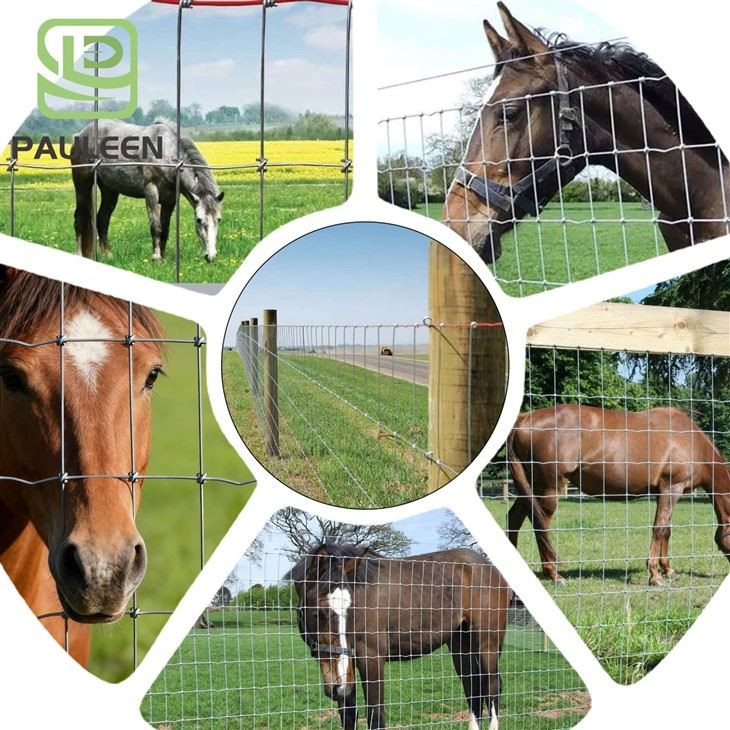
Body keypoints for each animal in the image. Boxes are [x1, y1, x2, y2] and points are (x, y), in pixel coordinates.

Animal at [71, 119, 224, 262]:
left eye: (218, 219)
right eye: (199, 220)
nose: (211, 256)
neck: (166, 152)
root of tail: (80, 134)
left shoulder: (170, 200)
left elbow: (165, 228)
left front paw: (163, 257)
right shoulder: (151, 191)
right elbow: (156, 226)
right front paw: (156, 257)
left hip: (109, 190)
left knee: (102, 219)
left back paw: (107, 255)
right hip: (82, 185)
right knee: (79, 218)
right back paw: (79, 254)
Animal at [288, 542, 512, 730]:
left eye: (350, 609)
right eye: (318, 613)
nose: (339, 686)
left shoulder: (371, 659)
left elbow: (376, 716)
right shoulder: (347, 672)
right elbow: (349, 716)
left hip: (487, 641)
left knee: (492, 685)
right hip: (460, 642)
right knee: (473, 686)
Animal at [507, 404, 730, 586]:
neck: (691, 441)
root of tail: (524, 419)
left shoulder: (666, 492)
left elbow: (666, 530)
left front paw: (668, 570)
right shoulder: (672, 487)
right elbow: (659, 529)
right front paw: (655, 575)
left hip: (532, 487)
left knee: (515, 517)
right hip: (549, 488)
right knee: (541, 526)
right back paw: (554, 575)